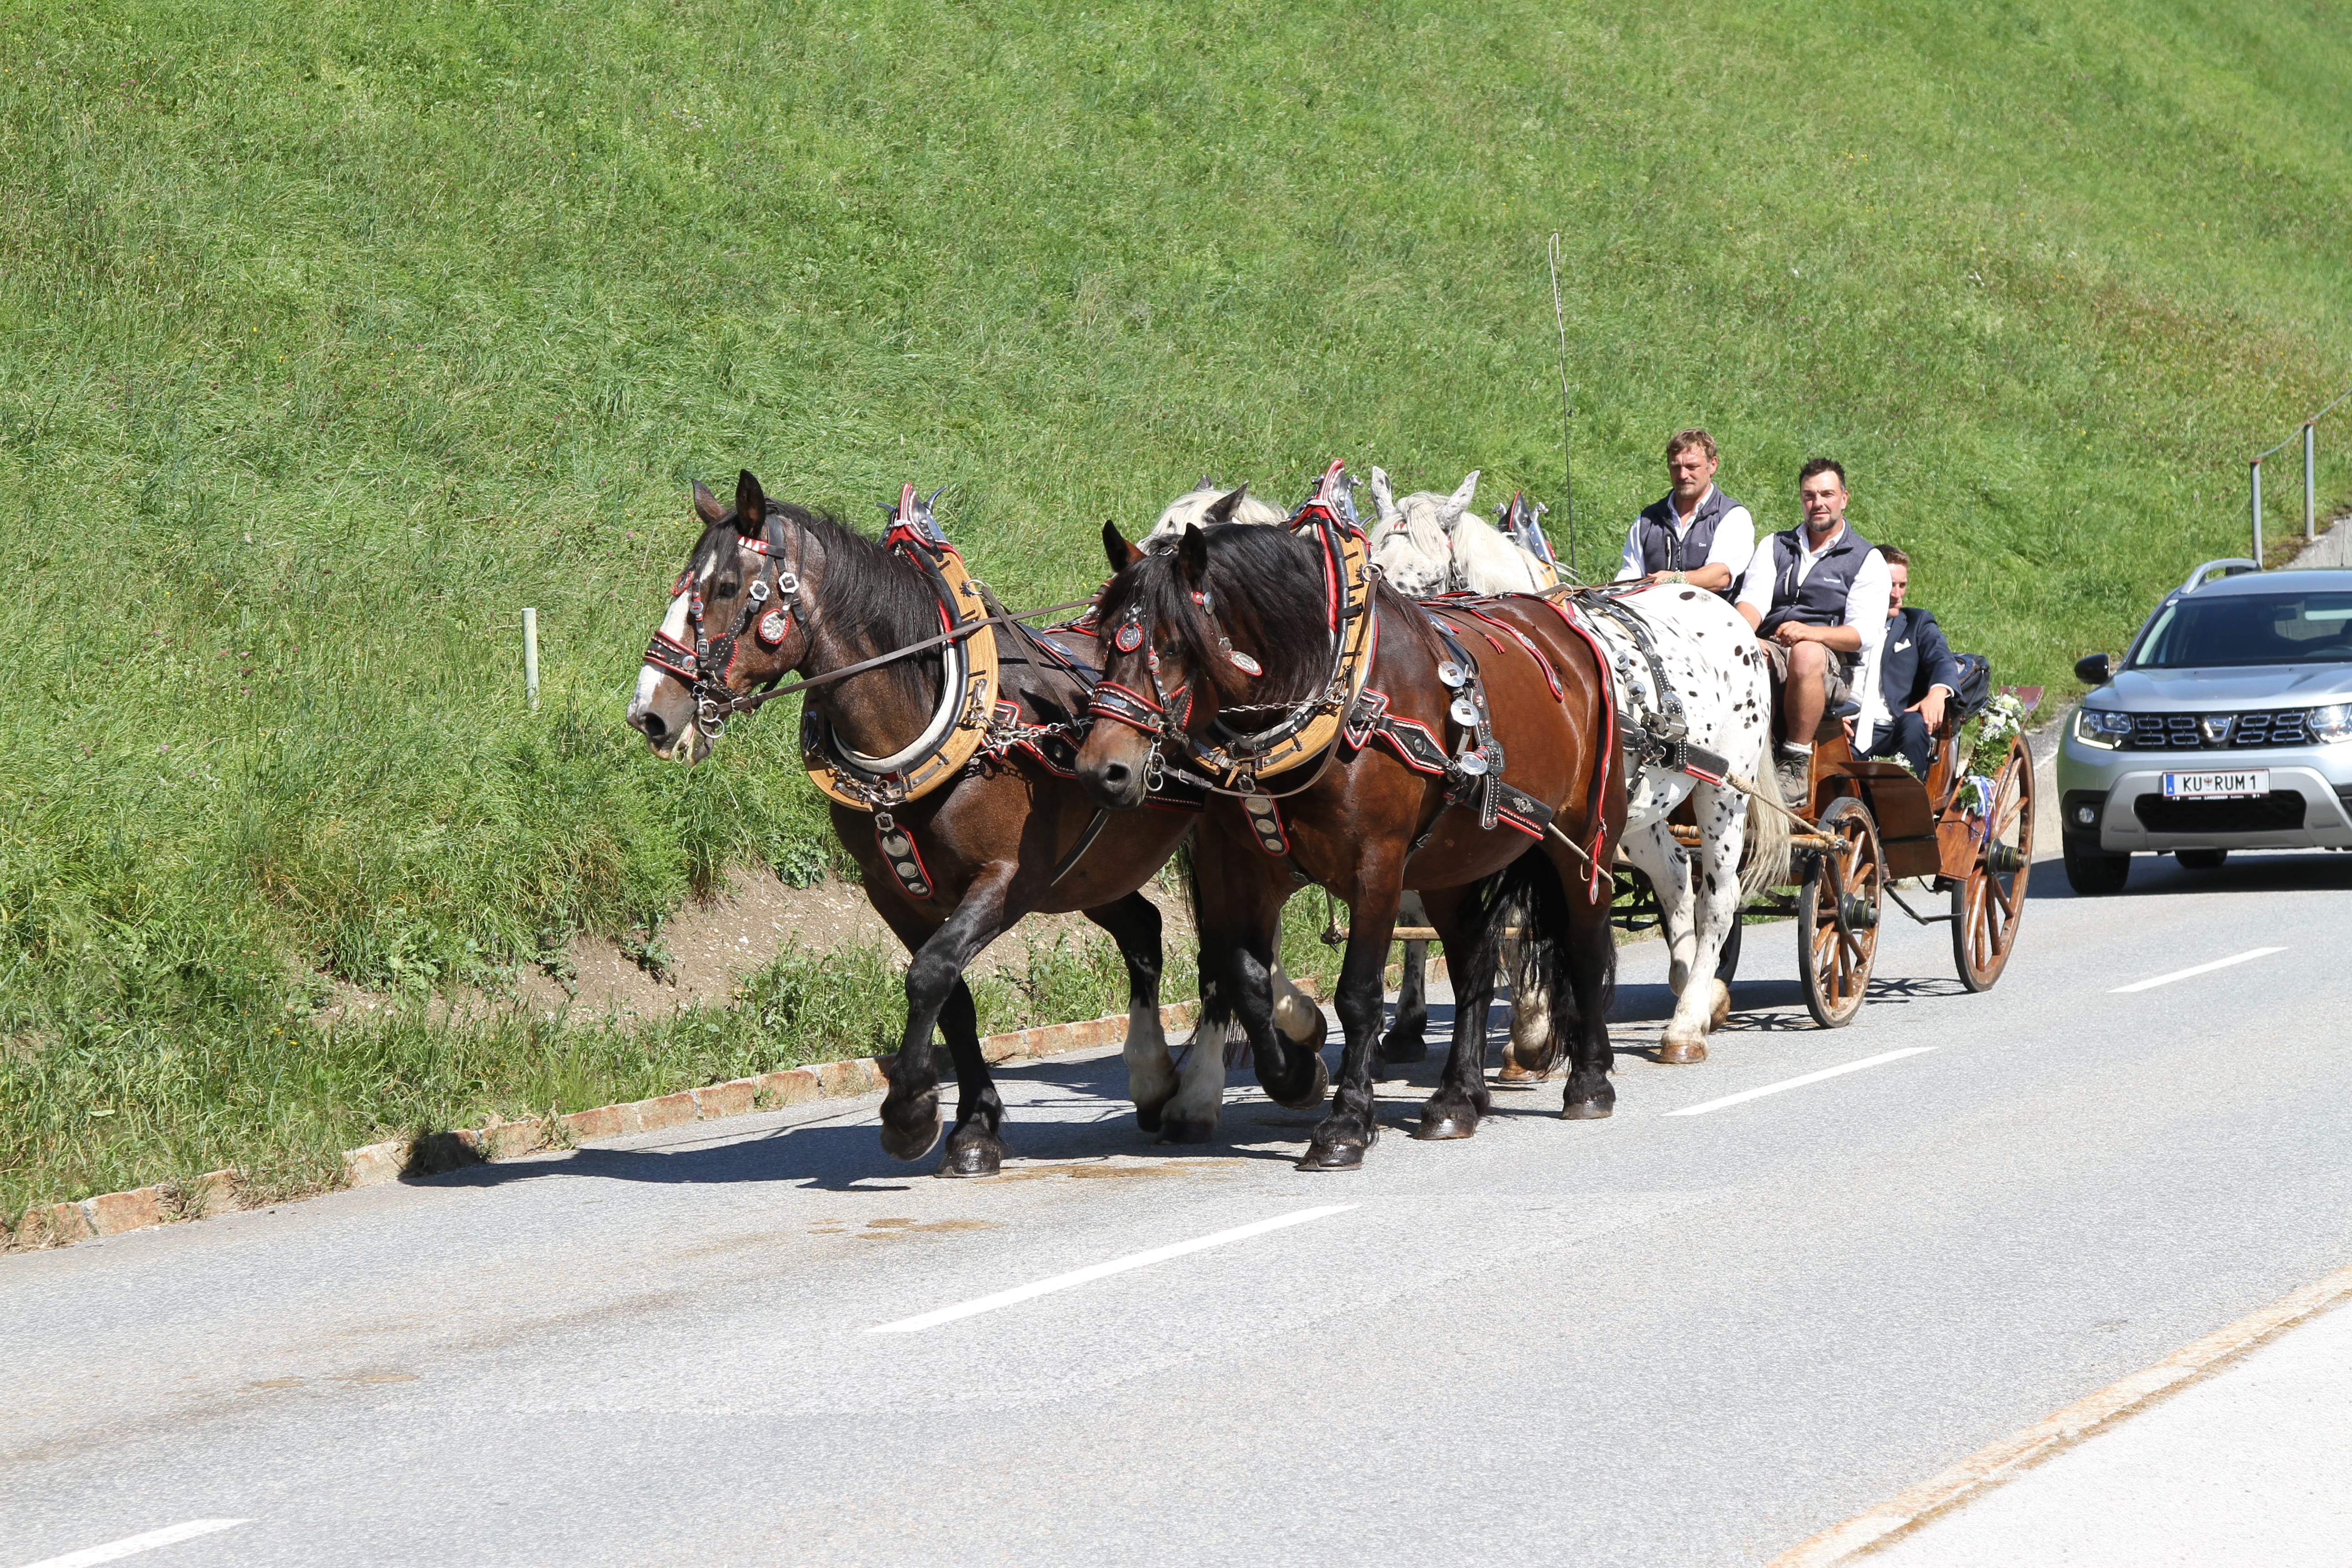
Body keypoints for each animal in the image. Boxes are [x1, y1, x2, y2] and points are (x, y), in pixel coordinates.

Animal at [623, 471, 1327, 1176]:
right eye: (682, 584)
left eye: (725, 588)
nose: (648, 711)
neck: (929, 716)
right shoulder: (895, 892)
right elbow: (950, 998)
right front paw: (973, 1126)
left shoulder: (1007, 879)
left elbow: (931, 974)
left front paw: (910, 1112)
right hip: (1090, 869)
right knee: (1148, 933)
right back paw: (1164, 1075)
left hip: (1204, 847)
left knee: (1221, 950)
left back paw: (1213, 1086)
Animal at [1075, 482, 1625, 1169]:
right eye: (1105, 637)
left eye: (1175, 646)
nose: (1104, 770)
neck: (1325, 692)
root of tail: (1566, 628)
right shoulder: (1237, 865)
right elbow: (1243, 977)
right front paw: (1294, 1074)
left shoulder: (1377, 866)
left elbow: (1358, 994)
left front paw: (1346, 1123)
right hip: (1453, 862)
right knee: (1473, 960)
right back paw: (1456, 1098)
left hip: (1582, 841)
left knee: (1584, 942)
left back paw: (1590, 1081)